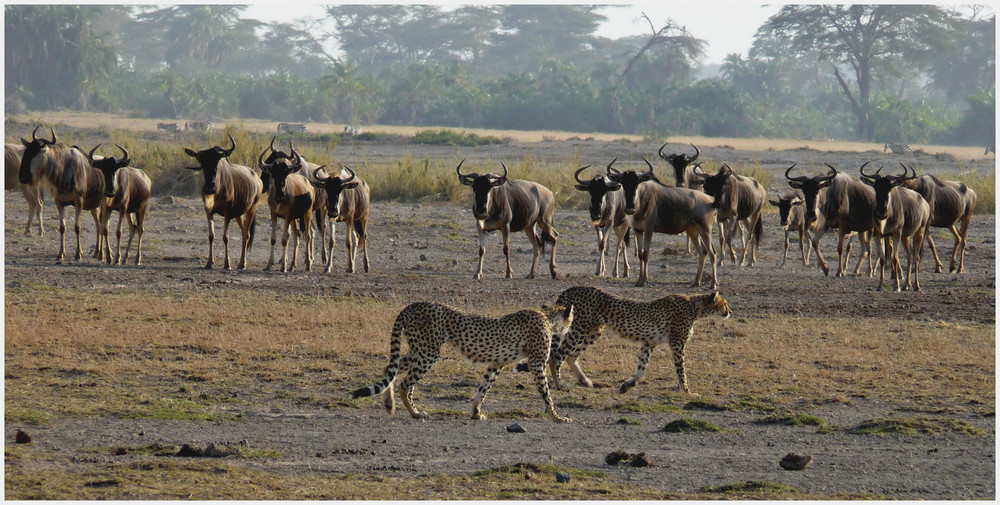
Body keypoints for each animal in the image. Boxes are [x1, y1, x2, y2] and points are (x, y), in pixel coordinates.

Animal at [352, 304, 576, 422]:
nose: (569, 329)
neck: (548, 318)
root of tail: (416, 304)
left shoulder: (496, 363)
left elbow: (483, 388)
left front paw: (476, 412)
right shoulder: (537, 363)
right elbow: (547, 393)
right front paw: (557, 416)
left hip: (417, 349)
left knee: (389, 369)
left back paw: (389, 404)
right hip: (428, 352)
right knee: (405, 384)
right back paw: (415, 413)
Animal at [544, 286, 732, 396]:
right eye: (724, 304)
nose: (730, 312)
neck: (695, 307)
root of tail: (570, 289)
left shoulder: (649, 343)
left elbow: (641, 369)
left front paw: (627, 385)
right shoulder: (677, 344)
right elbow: (681, 370)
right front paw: (687, 392)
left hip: (594, 331)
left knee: (570, 356)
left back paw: (585, 381)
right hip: (580, 329)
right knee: (557, 356)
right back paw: (560, 384)